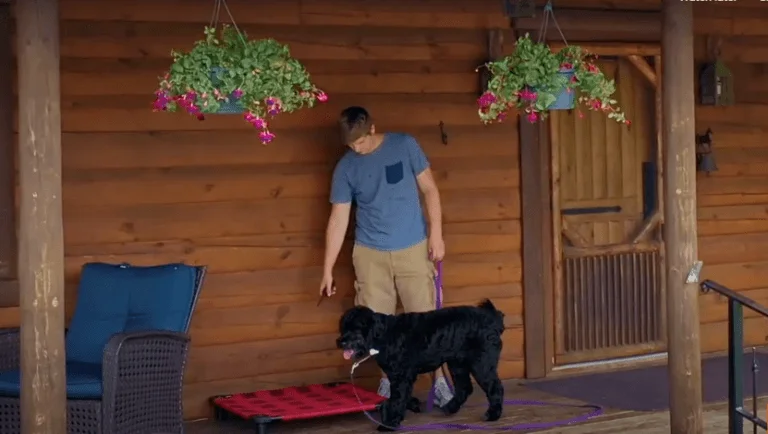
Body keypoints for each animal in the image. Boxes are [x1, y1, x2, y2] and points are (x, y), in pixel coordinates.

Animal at [336, 298, 504, 430]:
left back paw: (492, 415)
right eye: (343, 326)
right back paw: (450, 408)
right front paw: (408, 407)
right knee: (464, 388)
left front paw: (389, 423)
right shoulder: (401, 376)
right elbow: (400, 396)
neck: (385, 334)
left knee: (495, 387)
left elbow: (397, 398)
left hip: (481, 363)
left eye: (356, 328)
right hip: (458, 364)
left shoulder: (400, 376)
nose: (340, 341)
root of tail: (493, 319)